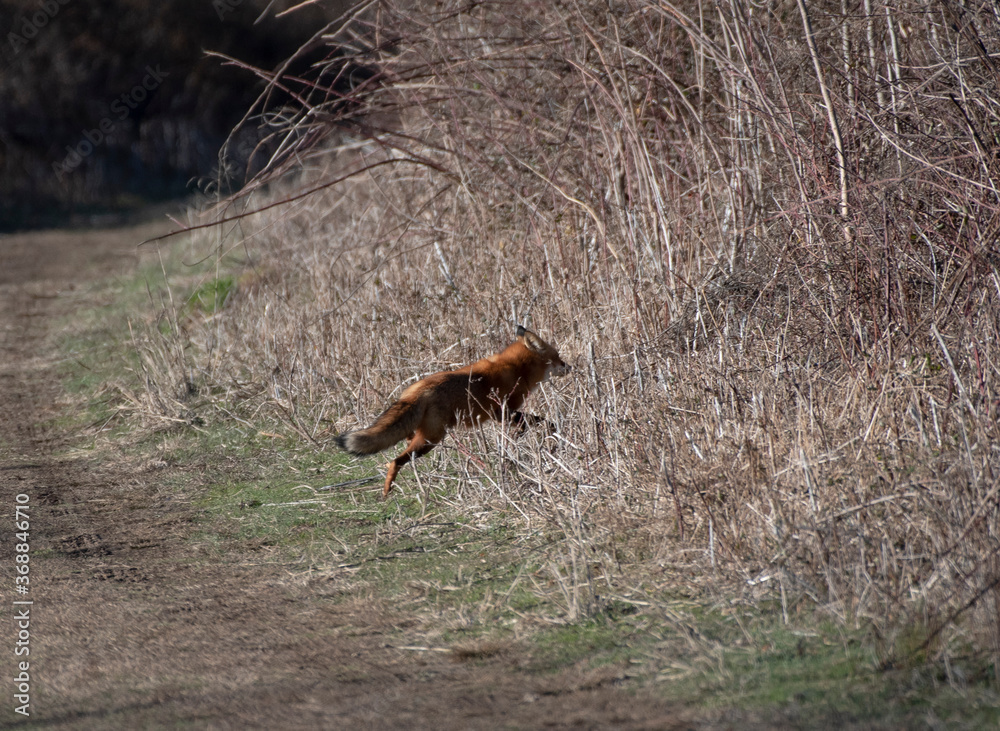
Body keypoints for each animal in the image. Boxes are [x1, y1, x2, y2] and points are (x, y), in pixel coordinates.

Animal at [334, 326, 570, 498]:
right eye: (558, 356)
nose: (570, 367)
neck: (517, 367)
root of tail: (417, 389)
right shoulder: (502, 411)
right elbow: (539, 421)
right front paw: (530, 437)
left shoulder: (504, 413)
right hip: (430, 440)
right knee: (396, 461)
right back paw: (386, 491)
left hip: (423, 435)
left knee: (401, 445)